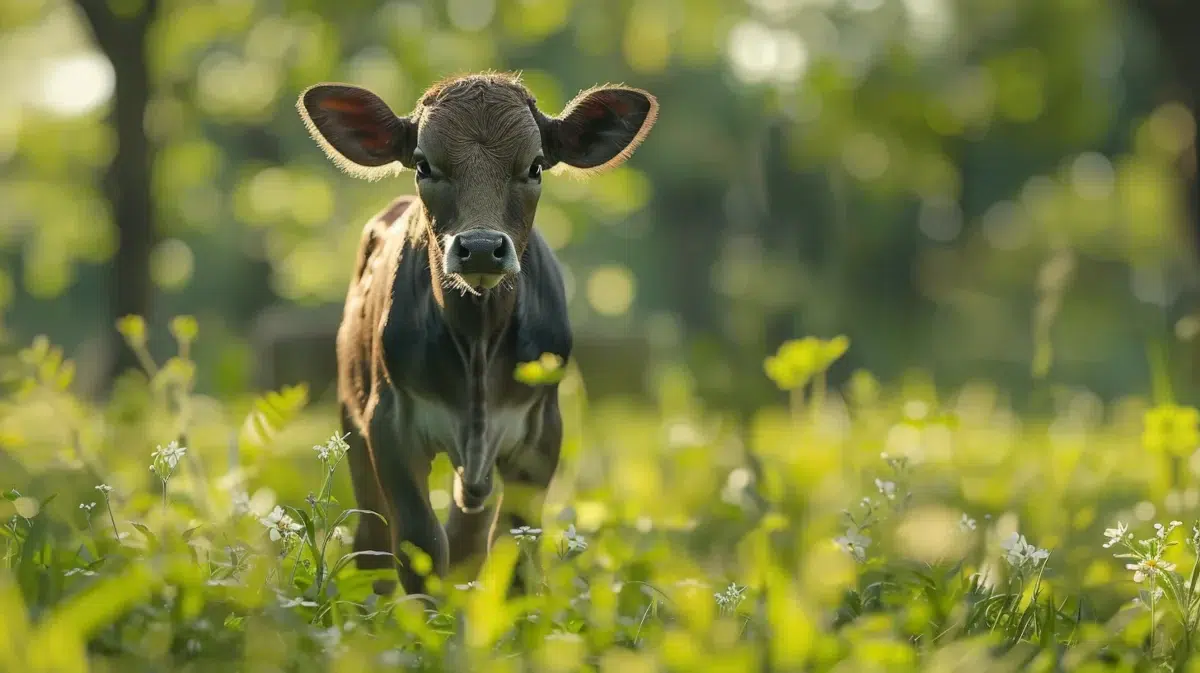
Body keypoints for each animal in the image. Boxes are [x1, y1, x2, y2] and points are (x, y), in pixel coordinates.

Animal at [297, 73, 657, 595]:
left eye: (534, 166)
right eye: (424, 164)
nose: (483, 248)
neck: (478, 342)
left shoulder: (540, 433)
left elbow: (512, 550)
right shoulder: (390, 424)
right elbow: (420, 545)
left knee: (466, 541)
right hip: (352, 417)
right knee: (372, 543)